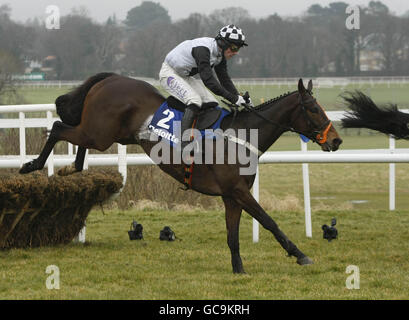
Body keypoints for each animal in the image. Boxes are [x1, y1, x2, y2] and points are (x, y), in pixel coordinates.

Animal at [18, 74, 342, 274]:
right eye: (314, 109)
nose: (336, 140)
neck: (241, 136)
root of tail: (110, 79)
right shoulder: (238, 192)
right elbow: (270, 222)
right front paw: (300, 255)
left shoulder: (231, 196)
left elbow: (233, 235)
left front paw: (238, 269)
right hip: (100, 132)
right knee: (58, 127)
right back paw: (31, 165)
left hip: (110, 134)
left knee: (76, 138)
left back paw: (71, 167)